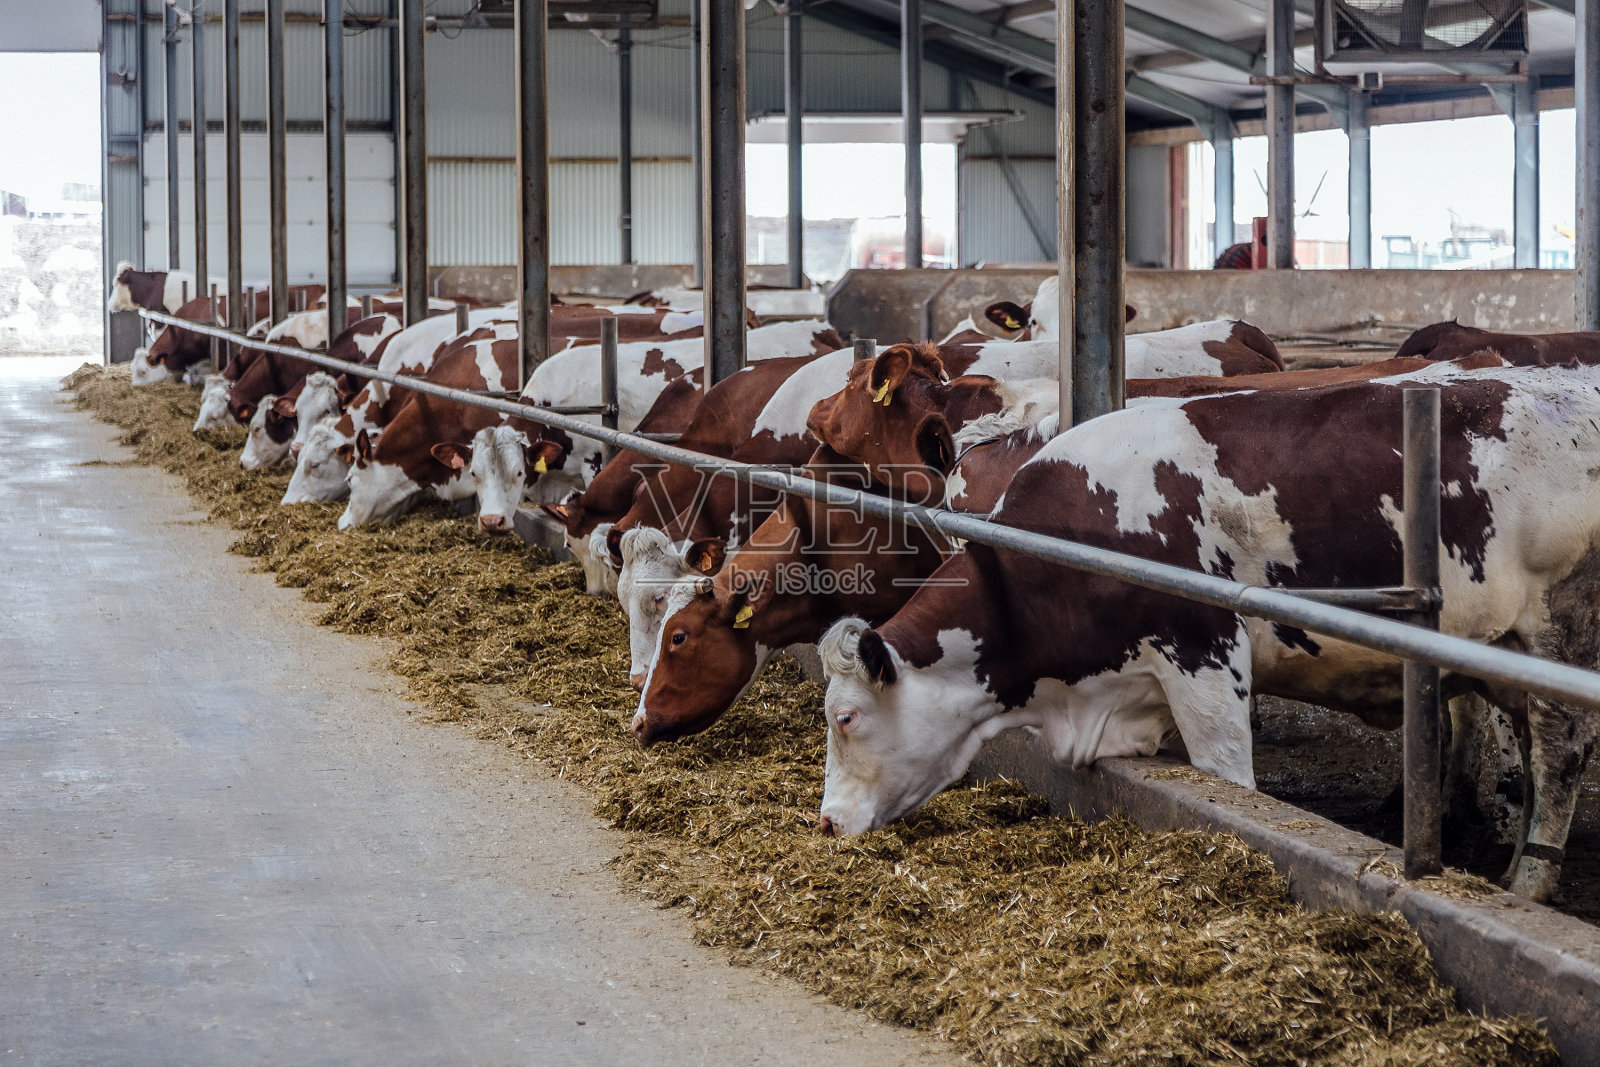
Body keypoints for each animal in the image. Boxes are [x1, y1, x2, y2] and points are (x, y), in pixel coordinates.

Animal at [819, 361, 1600, 902]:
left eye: (846, 717)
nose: (824, 823)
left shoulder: (1205, 655)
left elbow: (1229, 781)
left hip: (1559, 633)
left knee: (1560, 754)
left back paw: (1526, 883)